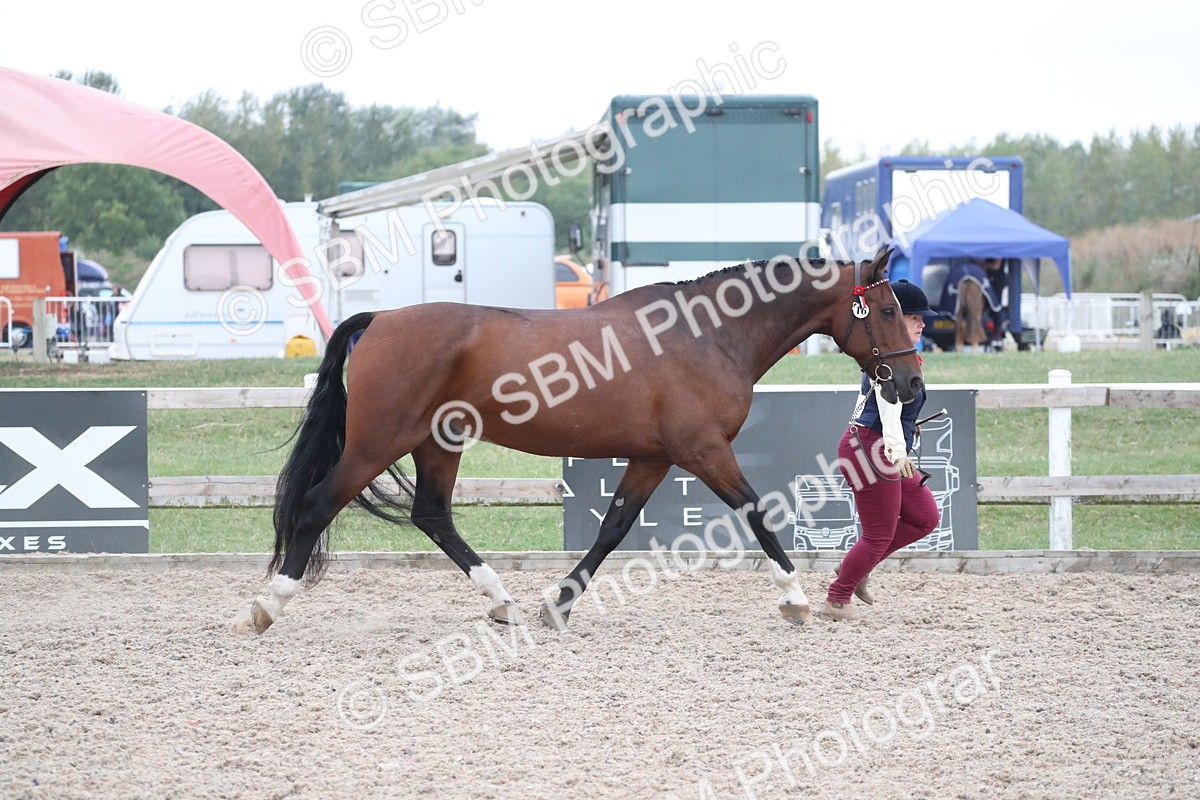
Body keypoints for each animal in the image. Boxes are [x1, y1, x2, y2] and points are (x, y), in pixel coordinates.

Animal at [229, 247, 924, 635]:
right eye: (889, 310)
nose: (911, 383)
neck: (707, 335)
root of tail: (380, 320)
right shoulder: (703, 451)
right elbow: (757, 513)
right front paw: (796, 598)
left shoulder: (653, 457)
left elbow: (613, 528)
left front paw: (558, 604)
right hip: (378, 443)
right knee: (318, 505)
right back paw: (269, 606)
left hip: (436, 443)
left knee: (432, 514)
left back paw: (503, 603)